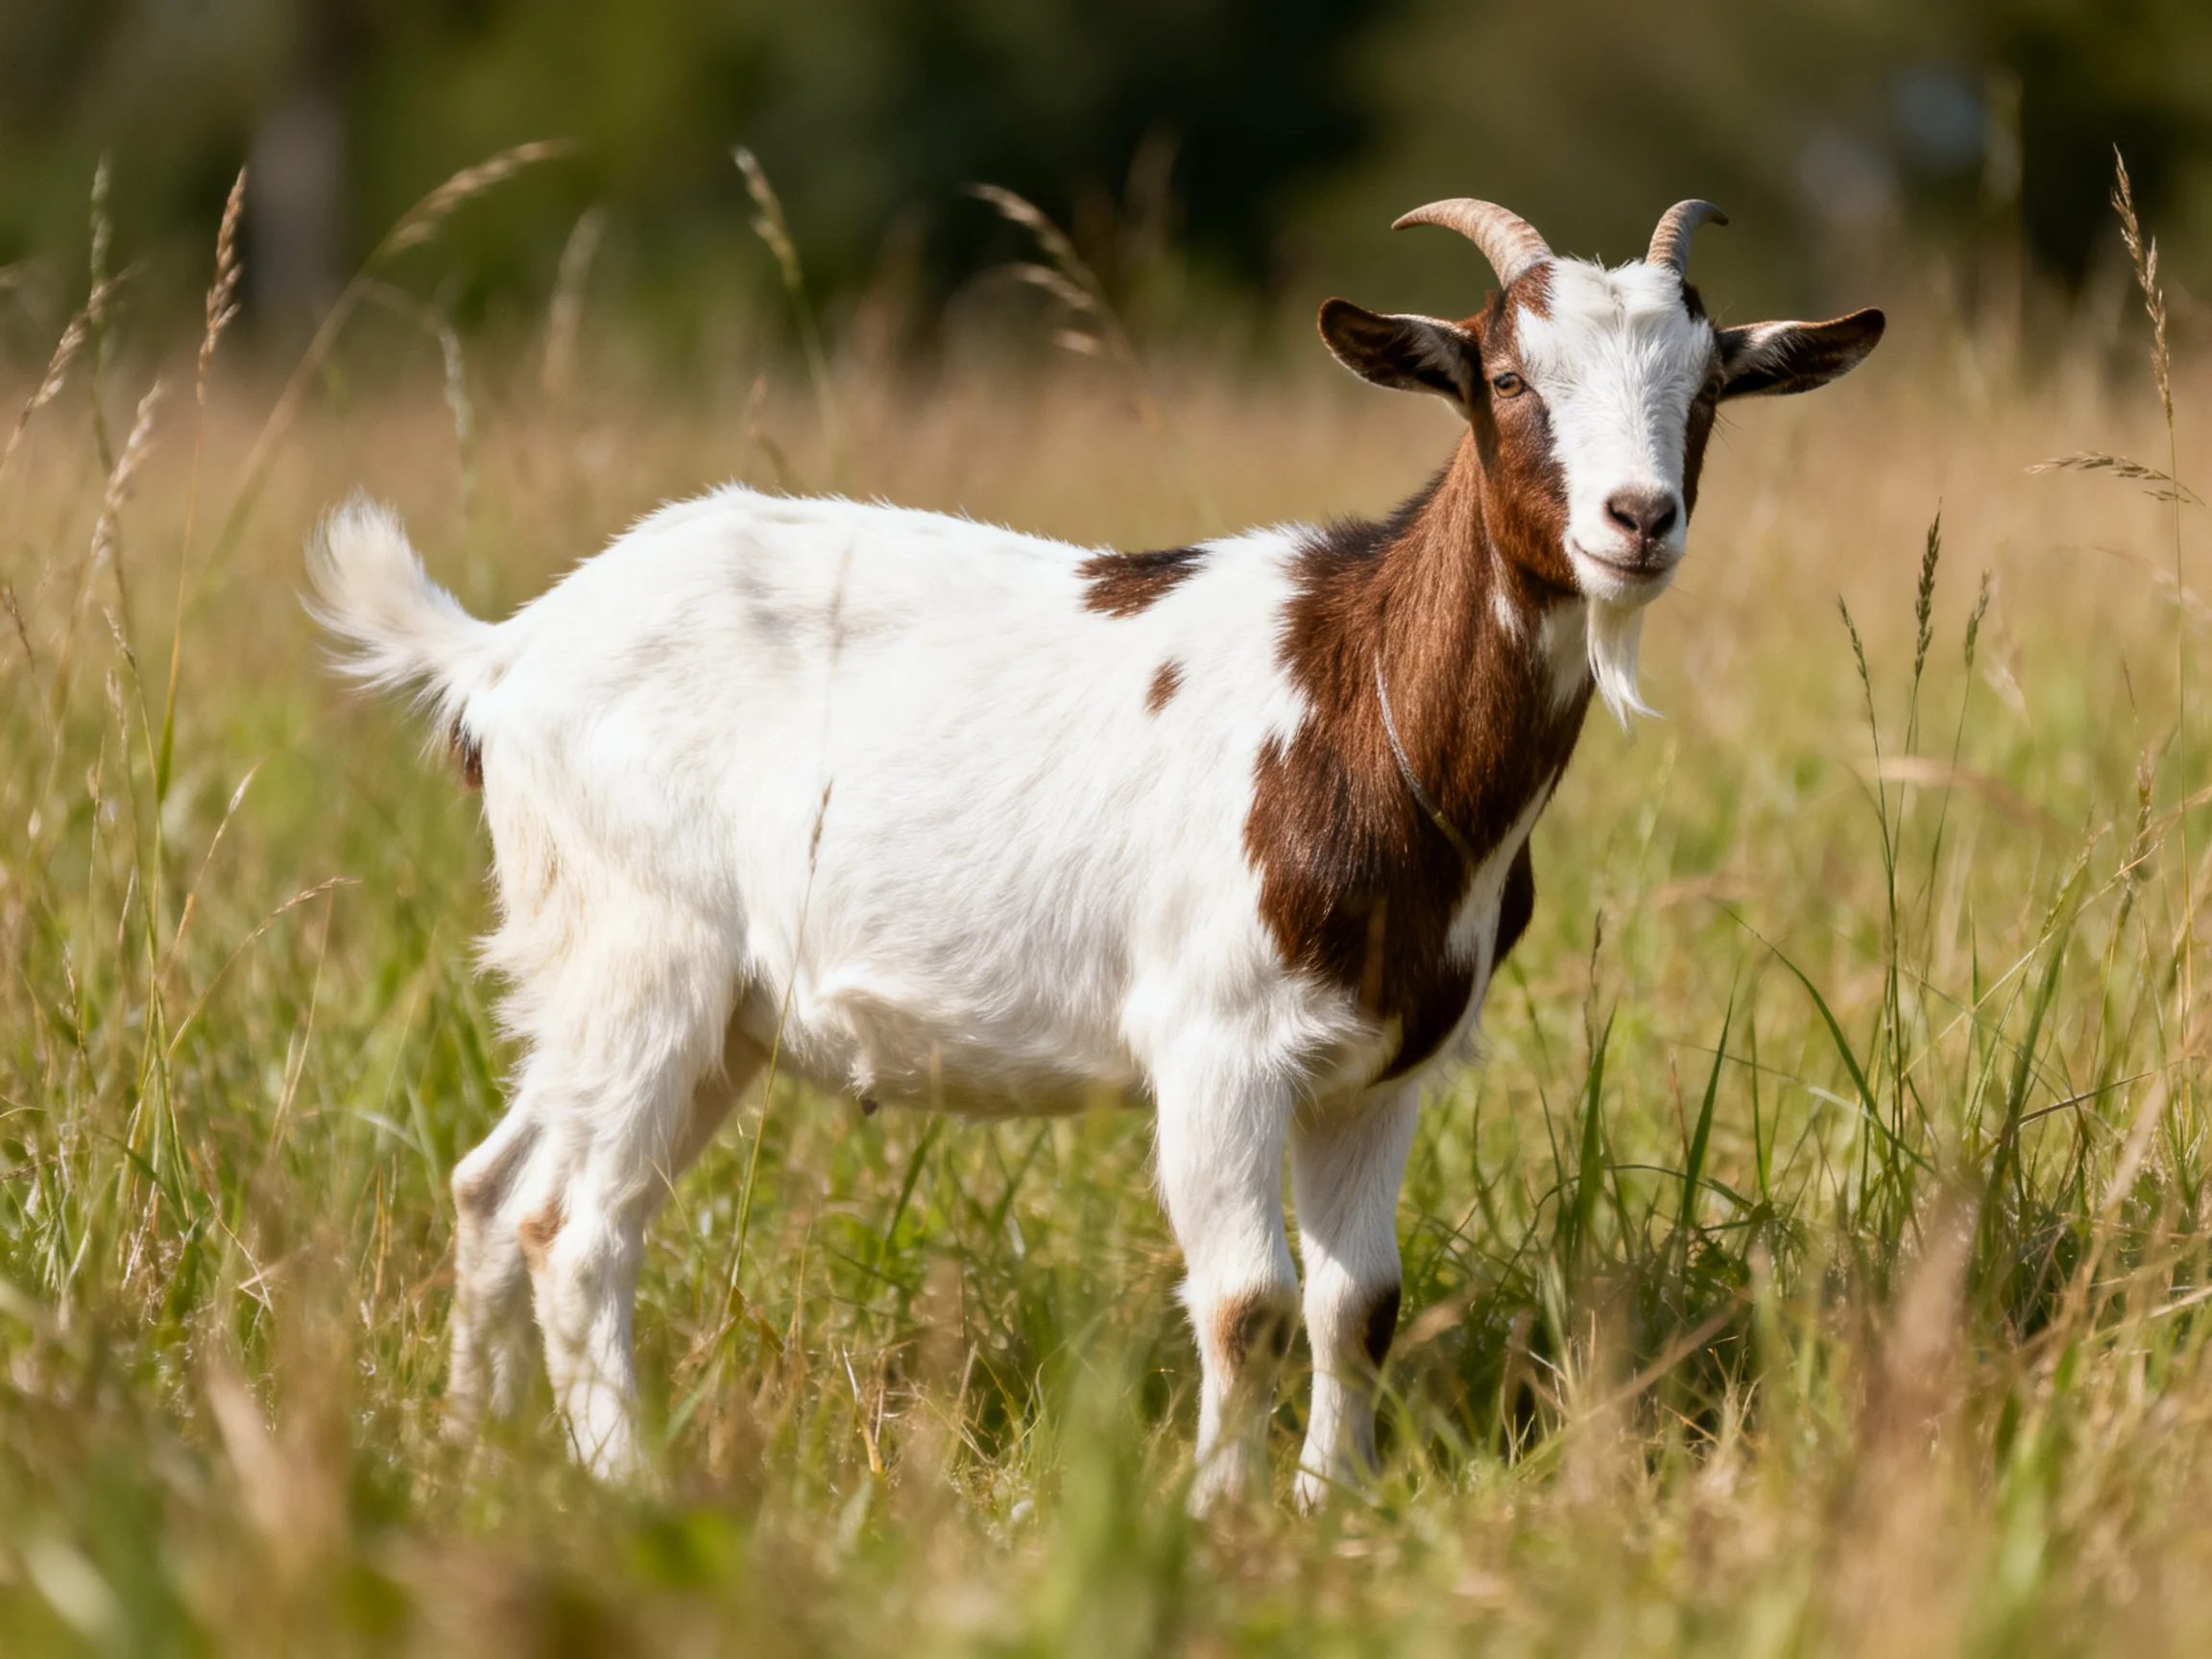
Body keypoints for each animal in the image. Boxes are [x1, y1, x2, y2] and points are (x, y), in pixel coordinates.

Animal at [311, 197, 1881, 1508]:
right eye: (1506, 378)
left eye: (1707, 390)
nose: (1638, 522)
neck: (1359, 700)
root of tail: (503, 655)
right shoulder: (1217, 1044)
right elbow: (1247, 1300)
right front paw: (1219, 1513)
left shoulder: (1387, 1066)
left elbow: (1354, 1303)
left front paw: (1336, 1507)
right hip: (648, 962)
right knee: (574, 1228)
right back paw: (633, 1486)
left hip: (654, 996)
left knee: (494, 1184)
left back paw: (472, 1454)